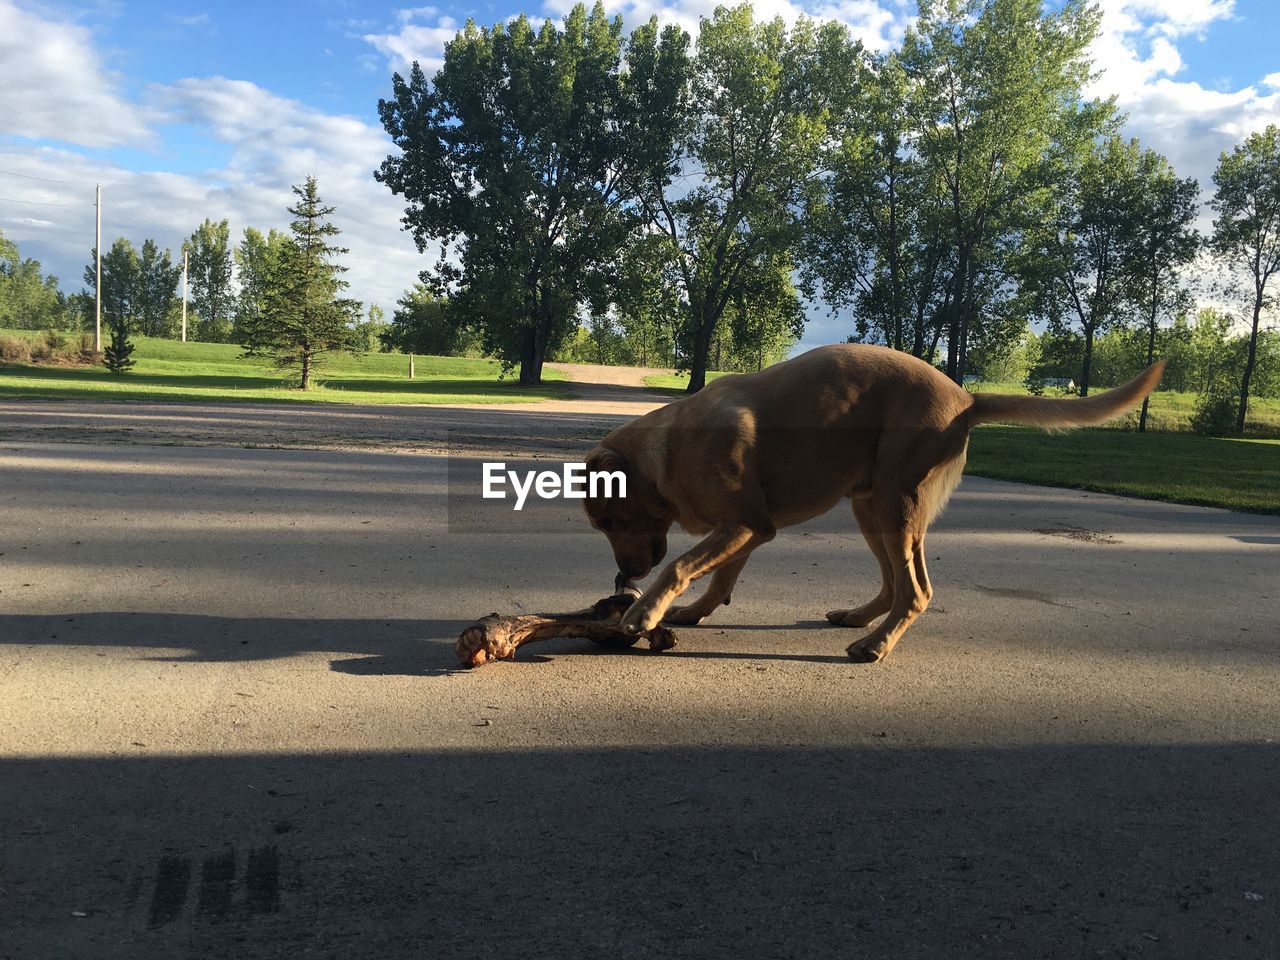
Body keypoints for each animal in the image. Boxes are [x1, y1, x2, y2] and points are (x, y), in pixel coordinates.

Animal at [586, 343, 1167, 665]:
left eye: (611, 518)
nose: (622, 579)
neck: (669, 452)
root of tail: (966, 398)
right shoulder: (747, 528)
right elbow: (719, 579)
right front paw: (691, 612)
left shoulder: (746, 524)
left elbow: (682, 565)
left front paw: (642, 613)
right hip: (870, 507)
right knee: (892, 583)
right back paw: (859, 619)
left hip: (894, 501)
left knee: (917, 591)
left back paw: (876, 646)